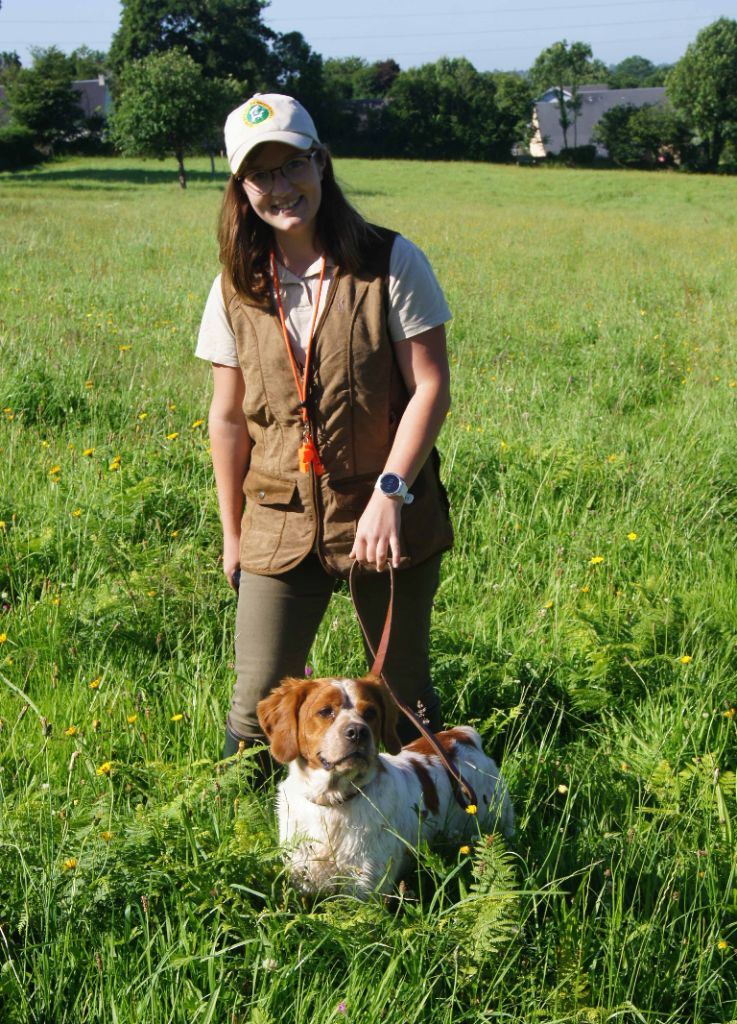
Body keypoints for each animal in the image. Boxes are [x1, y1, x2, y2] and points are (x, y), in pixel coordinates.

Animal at [255, 675, 515, 901]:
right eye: (326, 711)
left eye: (370, 712)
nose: (357, 732)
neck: (333, 803)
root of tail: (462, 736)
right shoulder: (303, 878)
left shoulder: (366, 887)